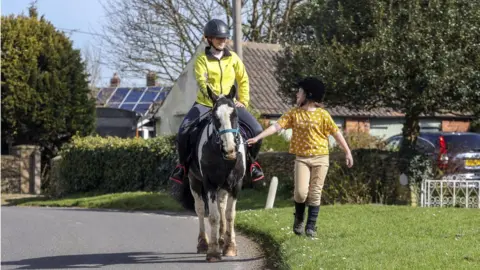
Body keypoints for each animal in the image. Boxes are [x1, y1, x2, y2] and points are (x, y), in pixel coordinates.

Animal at [182, 84, 246, 262]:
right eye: (214, 116)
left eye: (235, 114)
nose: (230, 150)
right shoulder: (209, 183)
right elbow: (213, 216)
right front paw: (213, 252)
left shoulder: (236, 184)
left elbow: (230, 215)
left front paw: (230, 247)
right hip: (194, 182)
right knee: (200, 209)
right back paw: (204, 243)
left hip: (224, 186)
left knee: (222, 207)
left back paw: (223, 239)